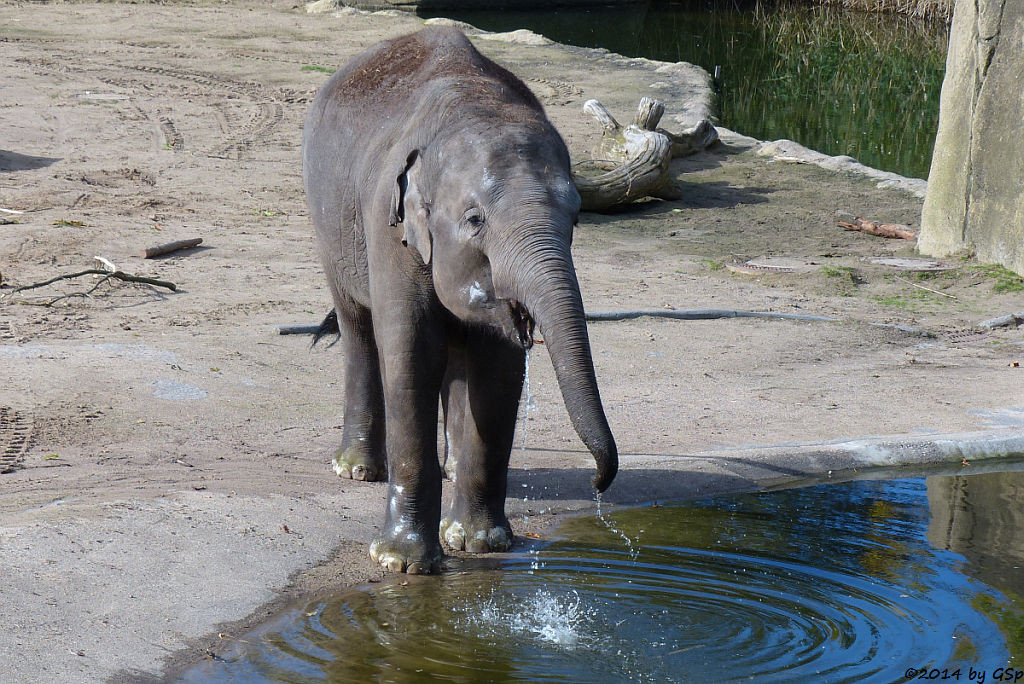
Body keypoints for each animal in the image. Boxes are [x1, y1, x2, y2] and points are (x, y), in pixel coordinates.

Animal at [299, 25, 614, 573]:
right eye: (474, 220)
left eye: (576, 218)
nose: (598, 481)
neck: (476, 103)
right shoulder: (391, 230)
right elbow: (409, 357)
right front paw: (400, 562)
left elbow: (498, 371)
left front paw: (480, 543)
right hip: (330, 229)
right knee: (359, 331)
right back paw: (356, 469)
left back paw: (446, 472)